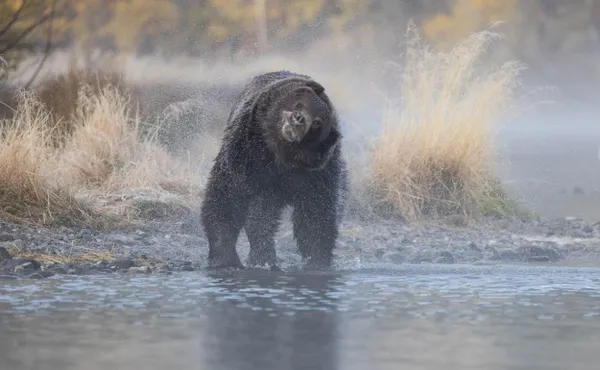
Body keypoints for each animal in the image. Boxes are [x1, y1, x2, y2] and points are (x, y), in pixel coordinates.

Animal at [200, 70, 346, 268]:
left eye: (317, 122)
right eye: (299, 103)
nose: (298, 119)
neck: (282, 156)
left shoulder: (317, 174)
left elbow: (315, 214)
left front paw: (316, 261)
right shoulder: (246, 155)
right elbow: (227, 195)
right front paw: (225, 257)